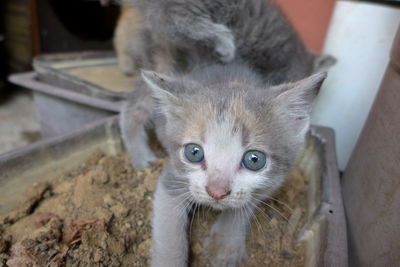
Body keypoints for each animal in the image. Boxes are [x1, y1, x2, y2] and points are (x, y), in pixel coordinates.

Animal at [139, 63, 326, 266]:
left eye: (254, 160)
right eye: (194, 152)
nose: (216, 192)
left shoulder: (276, 179)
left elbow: (246, 203)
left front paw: (224, 246)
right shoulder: (172, 175)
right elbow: (169, 231)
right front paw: (169, 258)